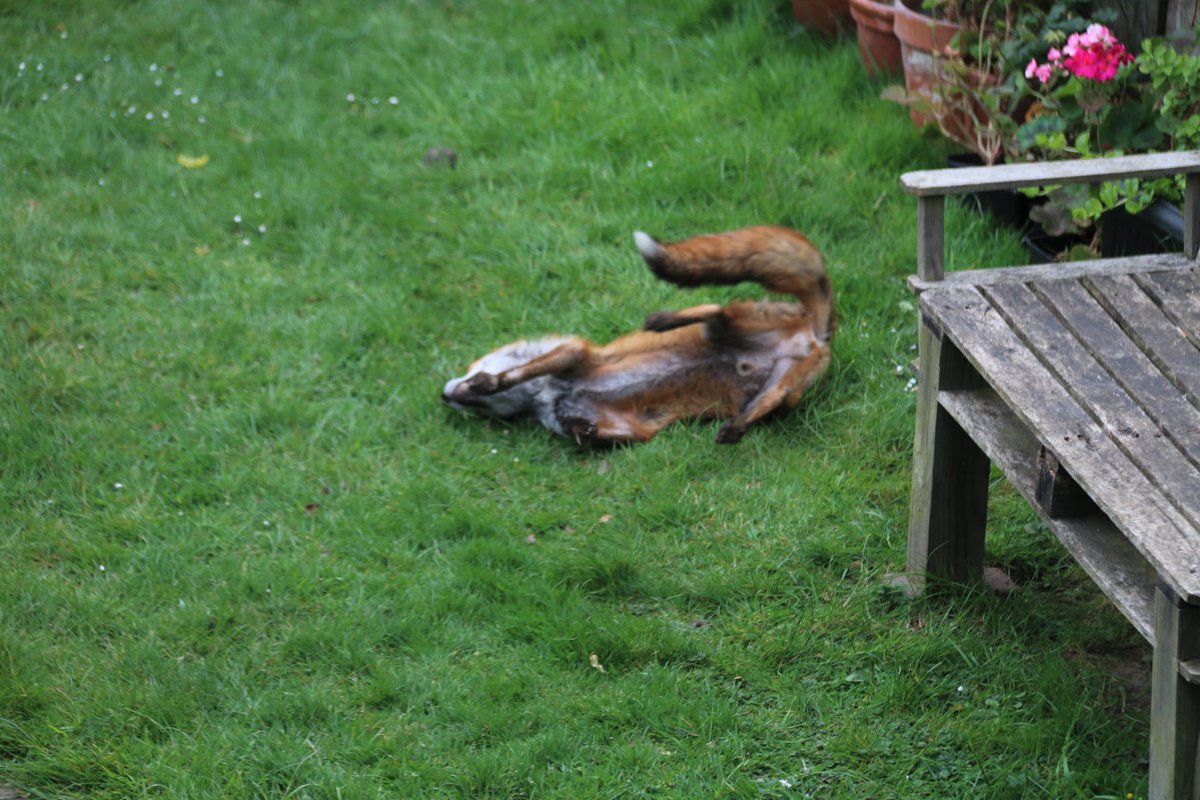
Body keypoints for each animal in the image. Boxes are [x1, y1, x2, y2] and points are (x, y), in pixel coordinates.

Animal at [441, 225, 835, 445]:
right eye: (479, 411)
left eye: (471, 367)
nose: (444, 396)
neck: (550, 395)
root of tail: (816, 331)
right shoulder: (621, 424)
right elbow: (597, 434)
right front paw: (584, 433)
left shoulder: (574, 354)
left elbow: (517, 372)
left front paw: (490, 382)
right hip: (784, 386)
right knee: (768, 400)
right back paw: (735, 428)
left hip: (728, 327)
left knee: (715, 309)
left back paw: (663, 319)